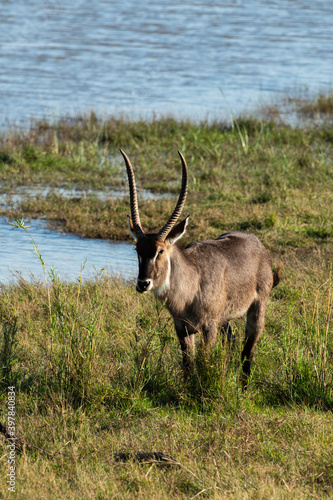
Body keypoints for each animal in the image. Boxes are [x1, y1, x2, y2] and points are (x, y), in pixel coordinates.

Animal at [120, 150, 278, 380]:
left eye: (160, 251)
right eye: (137, 250)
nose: (143, 283)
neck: (191, 285)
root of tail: (257, 243)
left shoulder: (209, 327)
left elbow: (204, 364)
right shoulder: (182, 328)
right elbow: (188, 366)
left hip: (256, 310)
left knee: (247, 354)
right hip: (225, 320)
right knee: (231, 345)